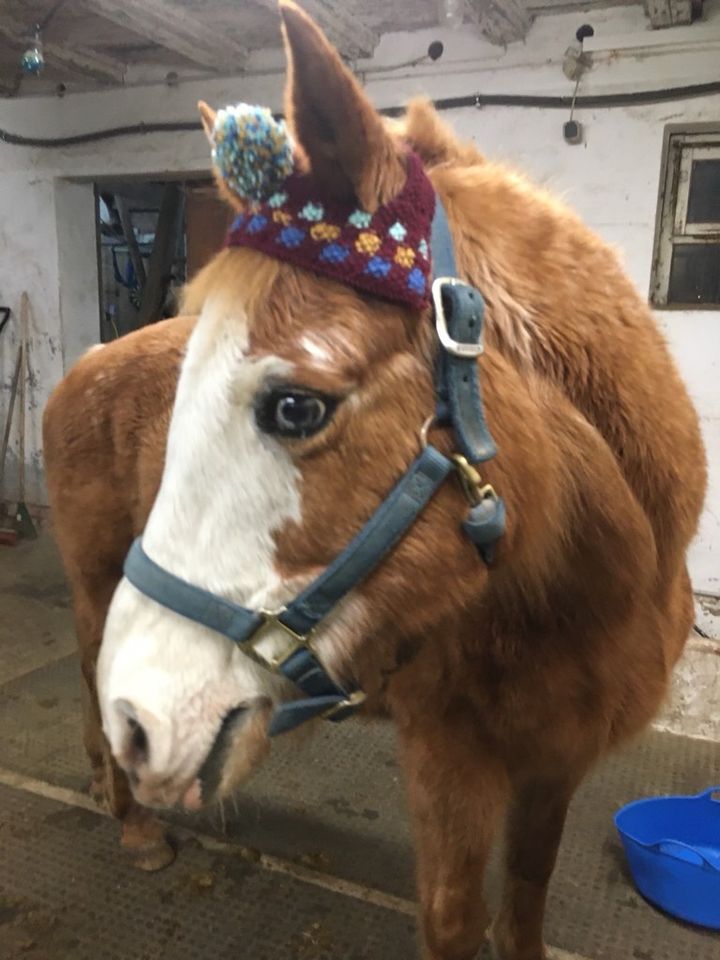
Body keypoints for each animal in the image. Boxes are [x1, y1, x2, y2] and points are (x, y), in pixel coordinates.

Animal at [43, 3, 704, 956]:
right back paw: (130, 817)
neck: (583, 596)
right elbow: (458, 920)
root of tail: (86, 364)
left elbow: (529, 893)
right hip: (94, 585)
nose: (147, 724)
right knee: (89, 680)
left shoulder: (556, 767)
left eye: (294, 408)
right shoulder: (451, 763)